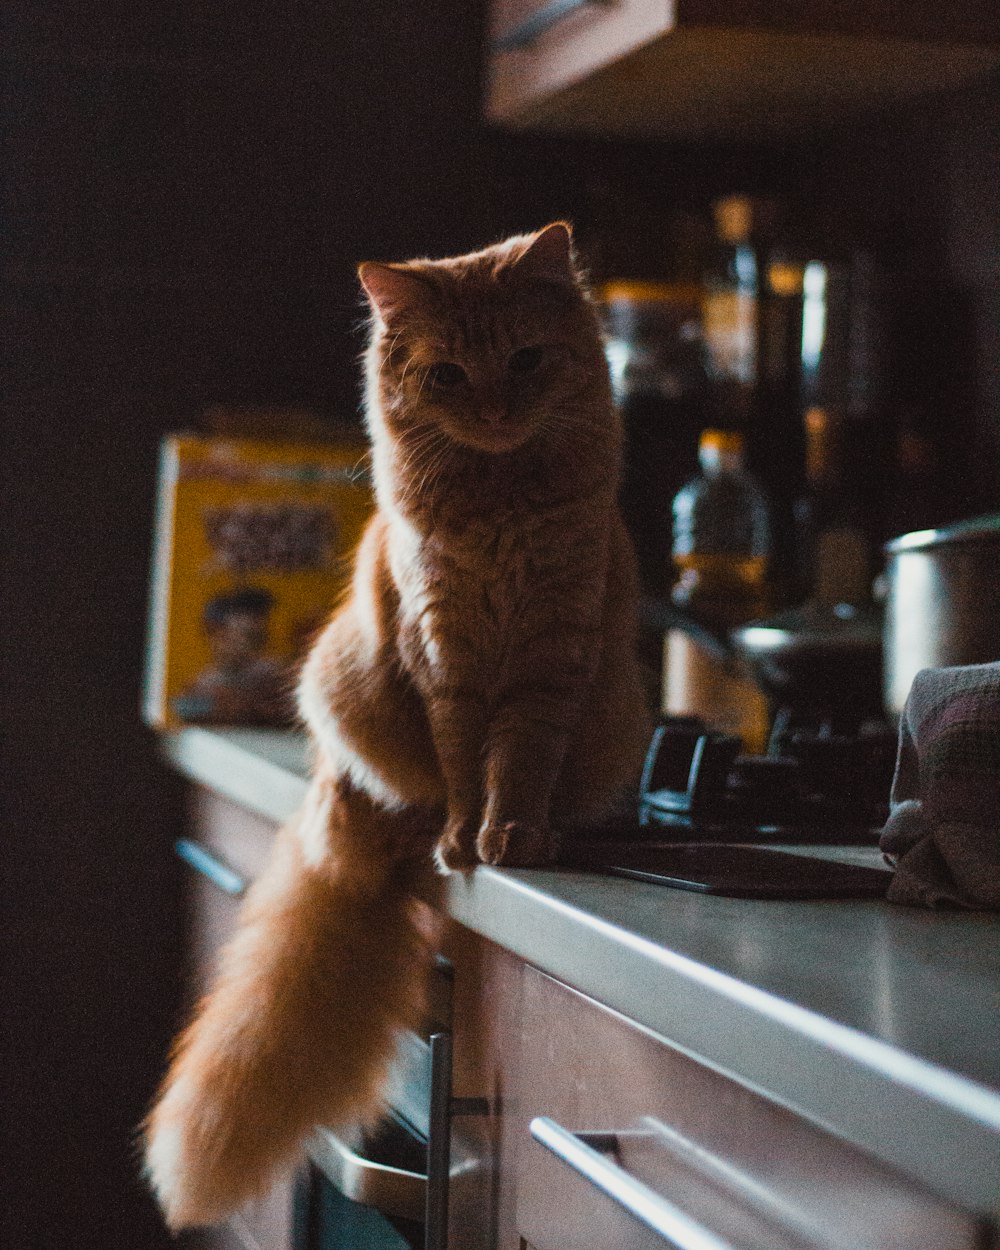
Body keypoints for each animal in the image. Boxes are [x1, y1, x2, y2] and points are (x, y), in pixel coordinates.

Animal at [144, 225, 650, 1230]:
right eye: (448, 375)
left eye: (525, 360)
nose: (492, 408)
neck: (499, 502)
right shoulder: (443, 659)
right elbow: (463, 766)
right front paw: (465, 837)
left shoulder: (549, 663)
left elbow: (519, 766)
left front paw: (514, 836)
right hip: (347, 695)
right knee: (403, 790)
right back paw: (423, 831)